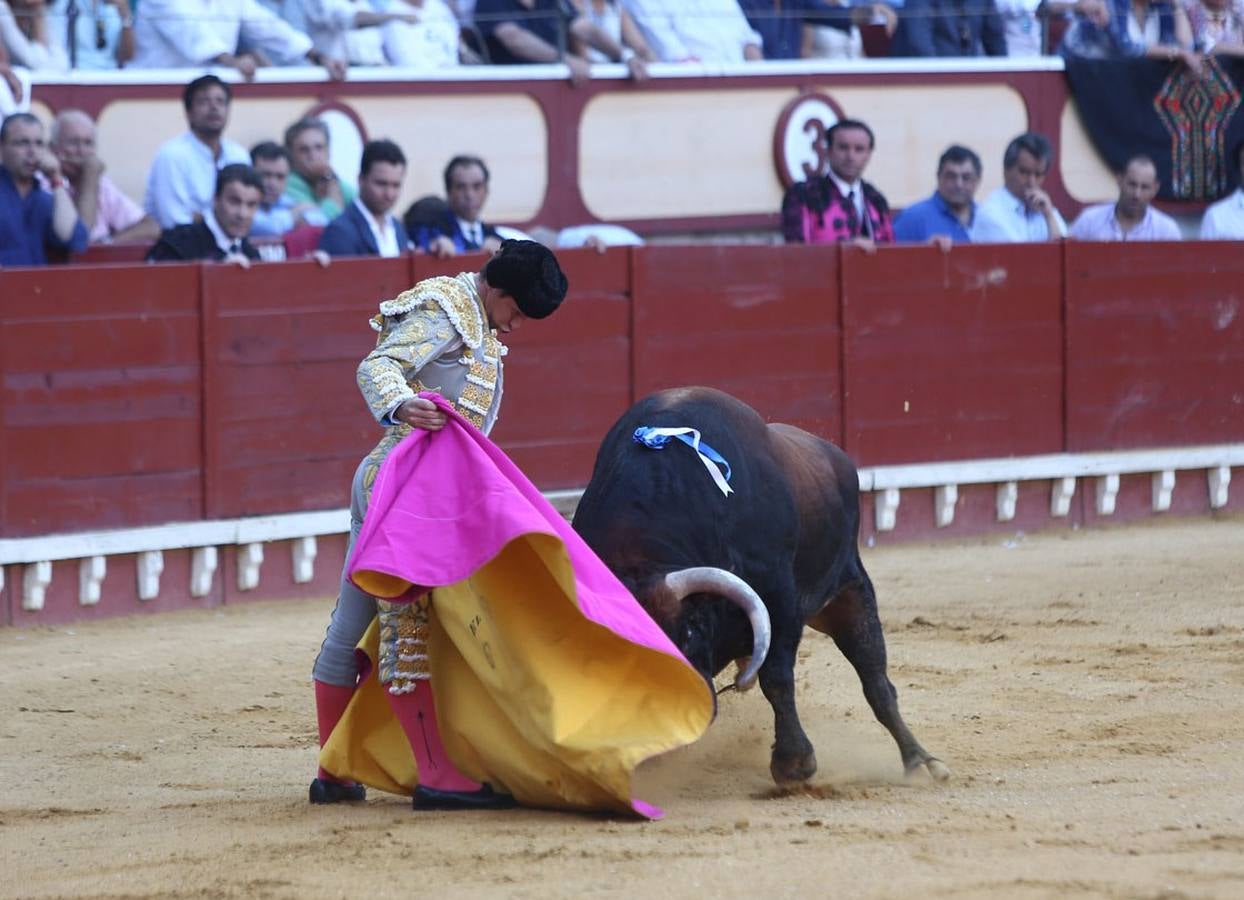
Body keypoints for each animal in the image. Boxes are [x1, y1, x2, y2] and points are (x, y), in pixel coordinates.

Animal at [574, 390, 950, 786]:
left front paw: (794, 763)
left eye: (689, 632)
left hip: (849, 592)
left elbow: (777, 676)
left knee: (876, 679)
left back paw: (921, 761)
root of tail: (834, 455)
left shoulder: (778, 599)